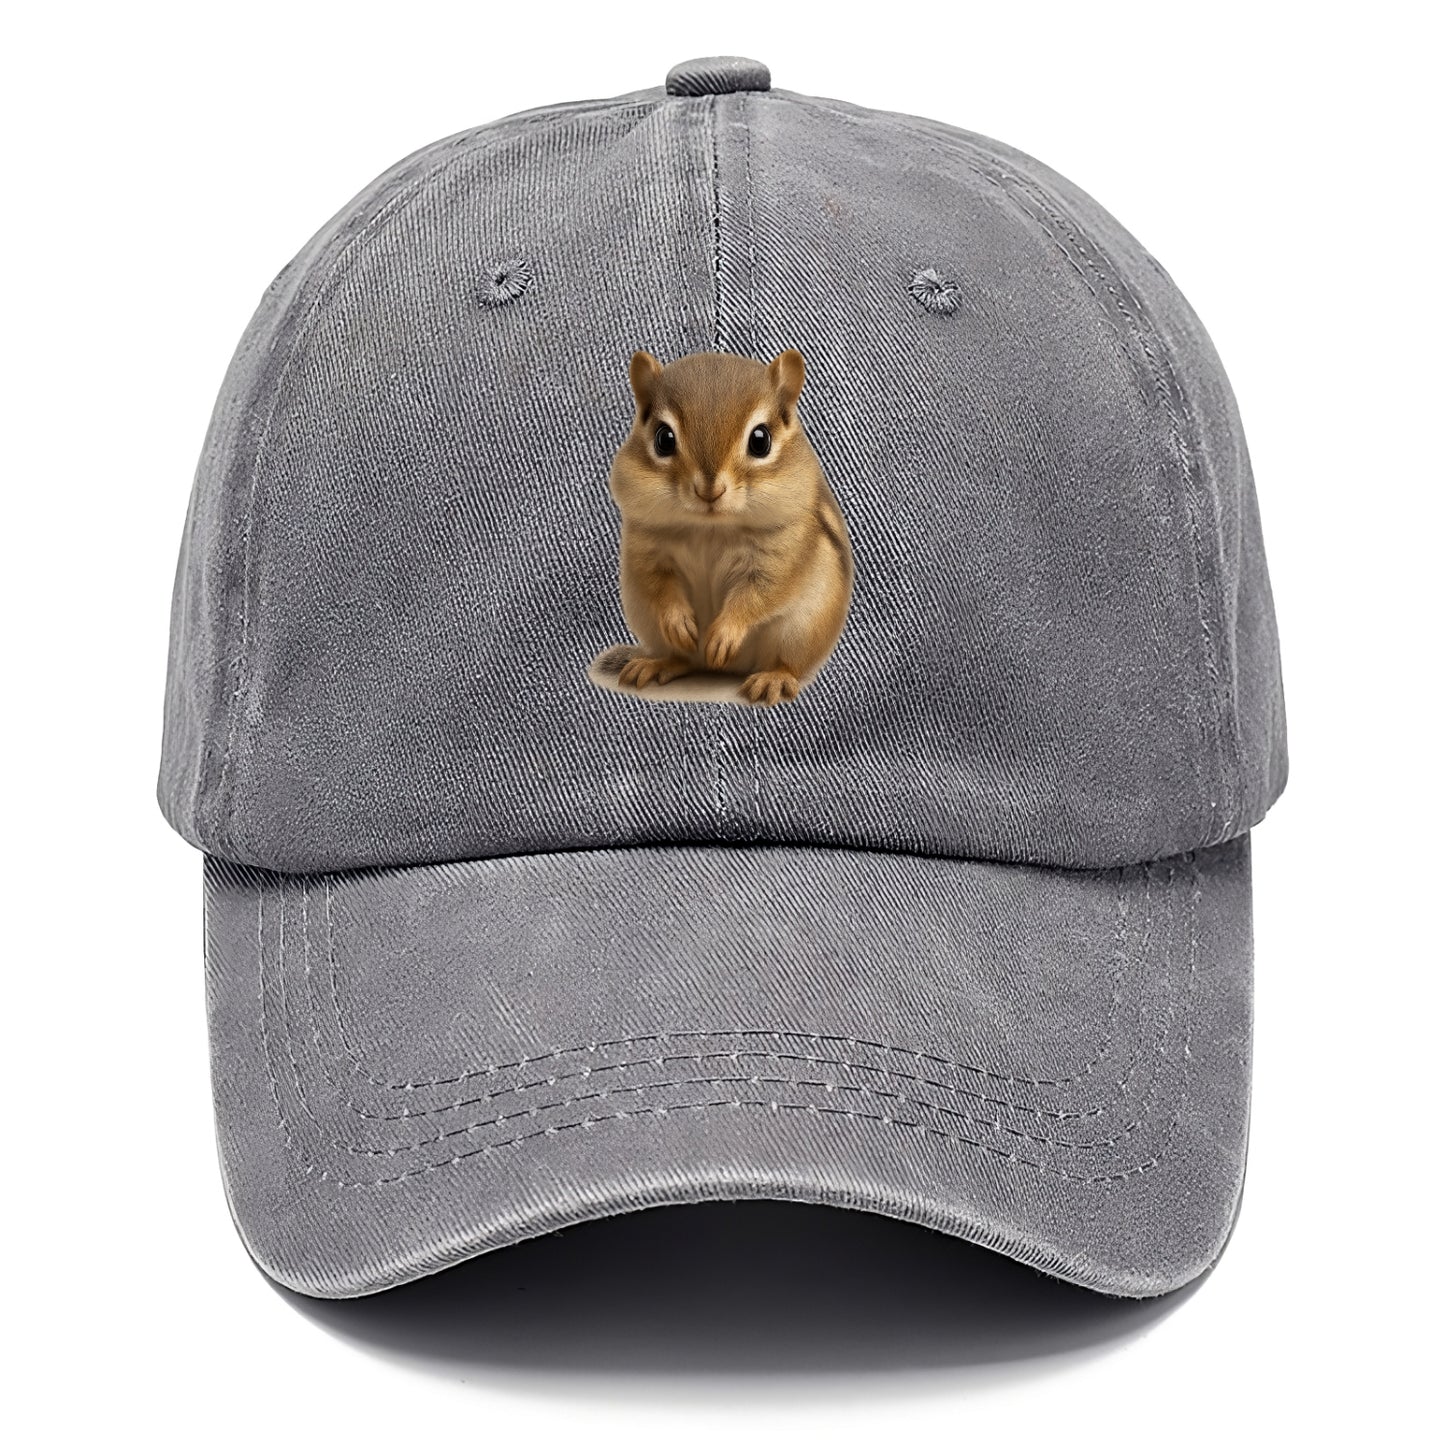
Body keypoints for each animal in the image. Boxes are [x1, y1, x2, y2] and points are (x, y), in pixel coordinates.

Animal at [604, 347, 853, 706]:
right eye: (664, 439)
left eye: (760, 441)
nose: (709, 491)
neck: (710, 527)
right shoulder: (647, 551)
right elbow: (658, 584)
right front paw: (679, 621)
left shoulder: (778, 557)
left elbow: (758, 595)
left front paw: (724, 634)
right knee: (683, 658)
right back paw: (657, 664)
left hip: (801, 628)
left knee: (788, 663)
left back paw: (773, 678)